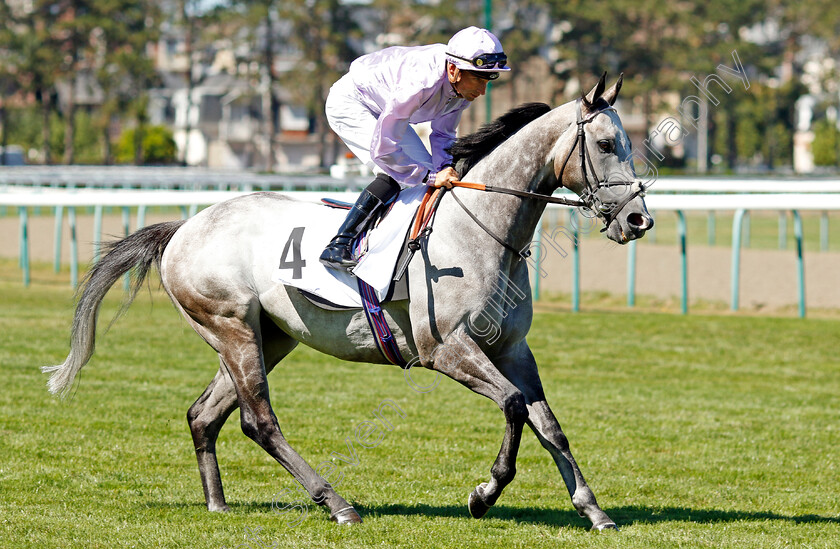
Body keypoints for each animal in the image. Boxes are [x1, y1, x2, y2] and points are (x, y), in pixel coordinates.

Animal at [42, 75, 652, 528]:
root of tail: (183, 229)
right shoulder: (445, 350)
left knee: (205, 415)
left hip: (267, 335)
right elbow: (514, 406)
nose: (637, 220)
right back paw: (337, 504)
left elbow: (549, 424)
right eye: (605, 145)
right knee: (259, 421)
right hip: (232, 328)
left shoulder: (511, 348)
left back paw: (218, 503)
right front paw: (483, 494)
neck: (480, 229)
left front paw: (593, 509)